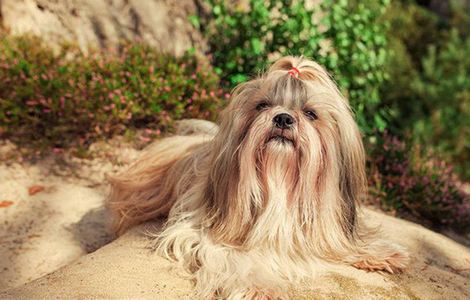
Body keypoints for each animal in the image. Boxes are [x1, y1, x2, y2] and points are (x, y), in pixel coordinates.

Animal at [108, 55, 410, 298]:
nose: (283, 118)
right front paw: (260, 286)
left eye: (310, 113)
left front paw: (378, 253)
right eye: (263, 105)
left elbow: (338, 244)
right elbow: (234, 259)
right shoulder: (203, 235)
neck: (280, 182)